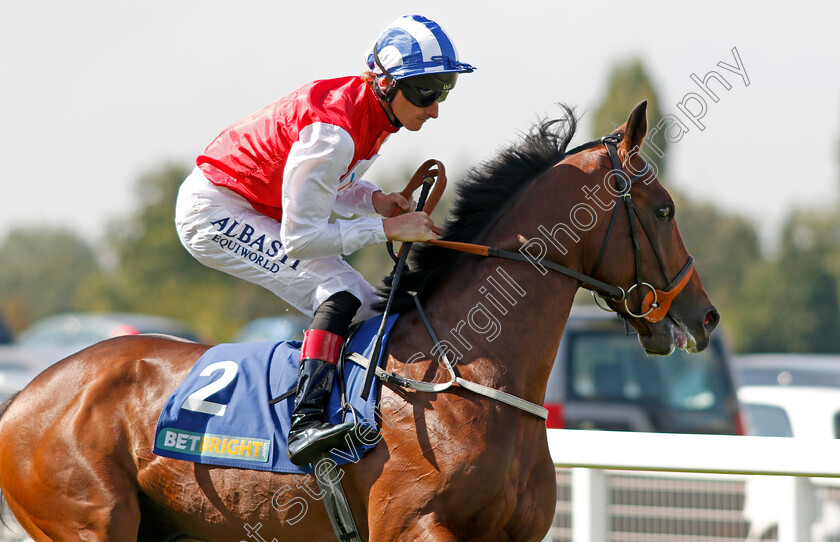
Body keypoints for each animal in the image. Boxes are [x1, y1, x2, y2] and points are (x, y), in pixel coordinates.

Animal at [0, 101, 720, 540]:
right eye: (663, 209)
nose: (704, 316)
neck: (463, 377)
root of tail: (27, 394)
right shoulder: (411, 525)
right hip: (87, 521)